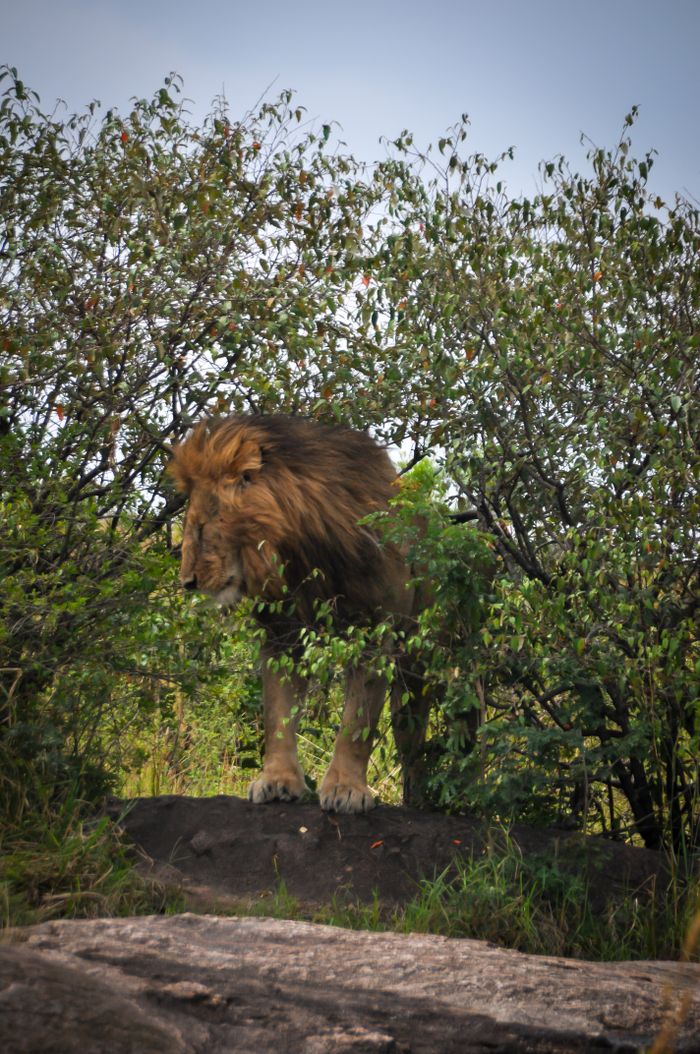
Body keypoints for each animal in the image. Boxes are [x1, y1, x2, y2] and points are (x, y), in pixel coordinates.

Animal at [169, 414, 431, 813]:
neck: (298, 553)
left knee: (414, 738)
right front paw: (277, 781)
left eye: (201, 528)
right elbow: (277, 711)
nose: (187, 583)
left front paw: (346, 789)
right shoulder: (282, 633)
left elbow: (358, 720)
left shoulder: (372, 631)